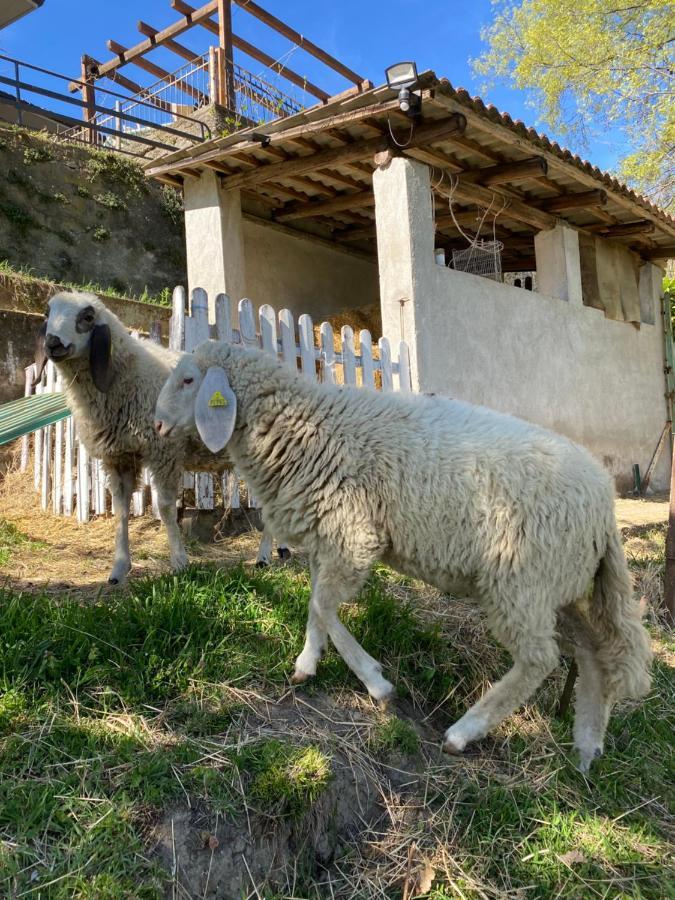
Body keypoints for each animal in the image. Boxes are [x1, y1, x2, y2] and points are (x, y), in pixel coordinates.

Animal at [36, 290, 288, 584]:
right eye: (47, 313)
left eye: (87, 318)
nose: (53, 343)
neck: (126, 377)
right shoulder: (119, 457)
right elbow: (121, 511)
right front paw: (119, 569)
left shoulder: (163, 451)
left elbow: (166, 507)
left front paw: (179, 562)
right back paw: (279, 550)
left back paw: (263, 556)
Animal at [154, 342, 656, 768]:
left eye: (188, 379)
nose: (156, 426)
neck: (303, 425)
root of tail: (605, 509)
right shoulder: (329, 538)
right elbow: (317, 605)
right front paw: (308, 664)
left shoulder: (354, 536)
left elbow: (323, 605)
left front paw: (376, 683)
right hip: (556, 584)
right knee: (593, 650)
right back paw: (587, 745)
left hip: (520, 580)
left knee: (539, 659)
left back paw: (464, 732)